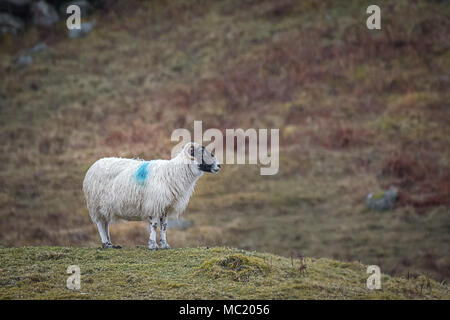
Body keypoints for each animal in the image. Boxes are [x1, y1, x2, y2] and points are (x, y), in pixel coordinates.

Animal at [82, 142, 221, 250]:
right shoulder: (154, 204)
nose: (219, 165)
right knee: (100, 224)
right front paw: (153, 245)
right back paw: (105, 243)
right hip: (95, 204)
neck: (175, 172)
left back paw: (110, 244)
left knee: (105, 223)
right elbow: (154, 225)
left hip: (104, 206)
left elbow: (164, 226)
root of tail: (94, 165)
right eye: (201, 152)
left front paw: (164, 245)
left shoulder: (165, 206)